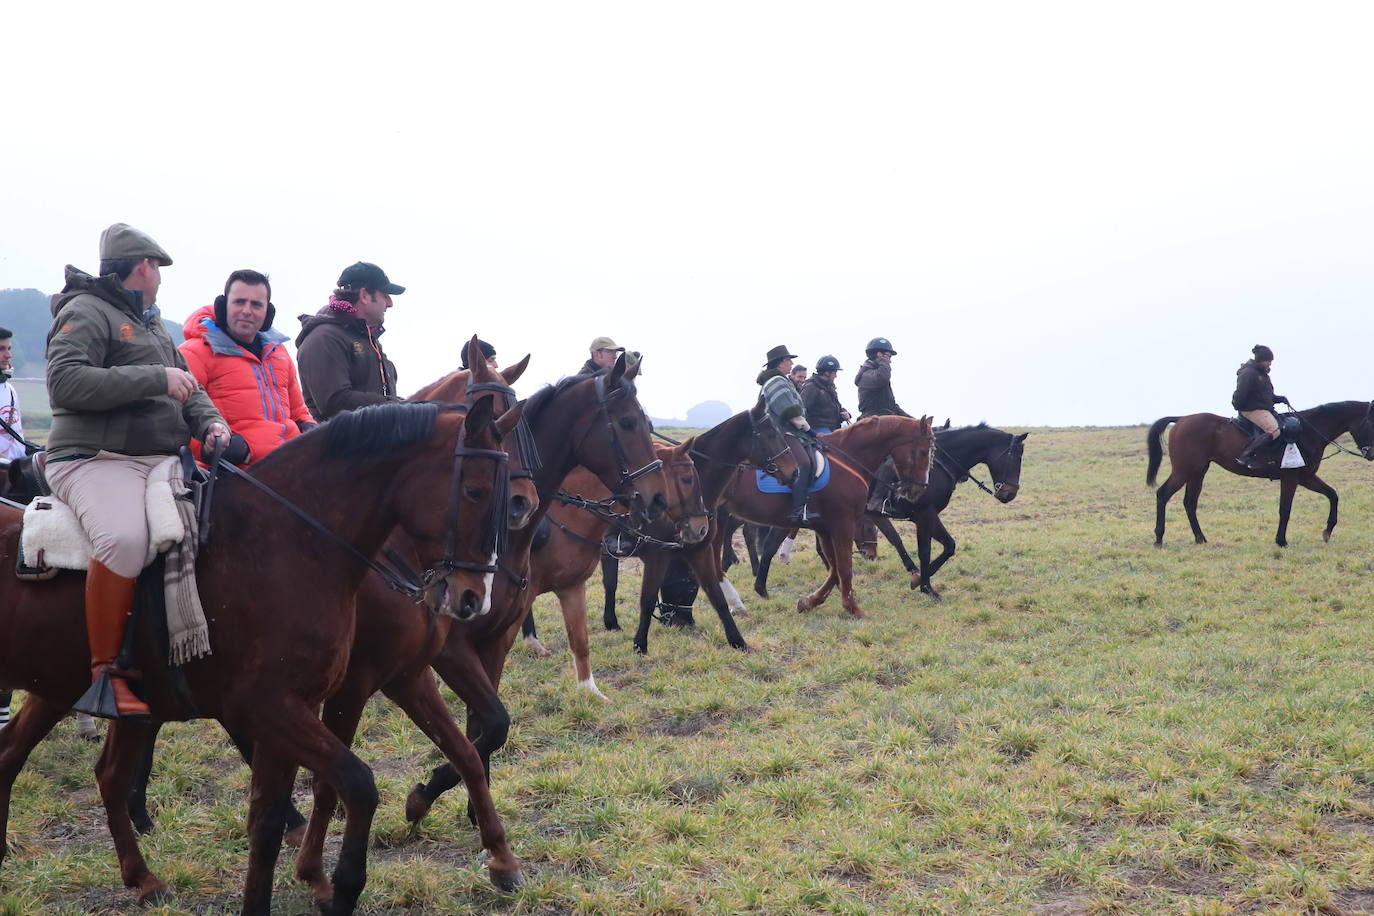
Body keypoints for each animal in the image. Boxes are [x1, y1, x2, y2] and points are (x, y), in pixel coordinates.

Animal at [0, 401, 511, 916]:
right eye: (475, 490)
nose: (474, 598)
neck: (283, 544)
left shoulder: (364, 688)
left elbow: (268, 822)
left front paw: (499, 857)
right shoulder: (281, 706)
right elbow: (353, 785)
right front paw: (337, 884)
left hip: (77, 693)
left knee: (74, 767)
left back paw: (141, 878)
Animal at [1148, 398, 1374, 543]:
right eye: (1371, 424)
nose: (1370, 454)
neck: (1307, 432)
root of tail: (1181, 419)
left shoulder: (1306, 477)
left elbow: (1332, 495)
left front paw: (1327, 531)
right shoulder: (1291, 478)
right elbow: (1285, 509)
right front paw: (1281, 541)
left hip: (1197, 472)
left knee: (1189, 502)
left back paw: (1200, 538)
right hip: (1184, 471)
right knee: (1163, 494)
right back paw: (1159, 537)